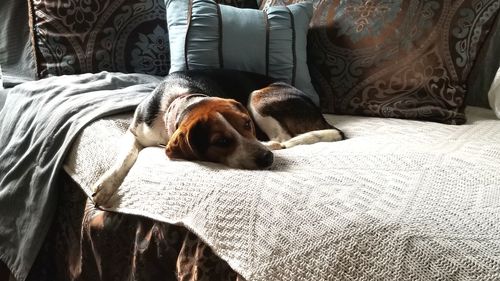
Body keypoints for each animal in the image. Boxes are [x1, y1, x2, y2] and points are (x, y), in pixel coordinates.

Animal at [92, 69, 346, 205]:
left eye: (248, 124)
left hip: (256, 95)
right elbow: (125, 157)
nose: (267, 159)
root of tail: (318, 112)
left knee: (282, 137)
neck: (181, 101)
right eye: (221, 142)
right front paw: (106, 186)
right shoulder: (134, 131)